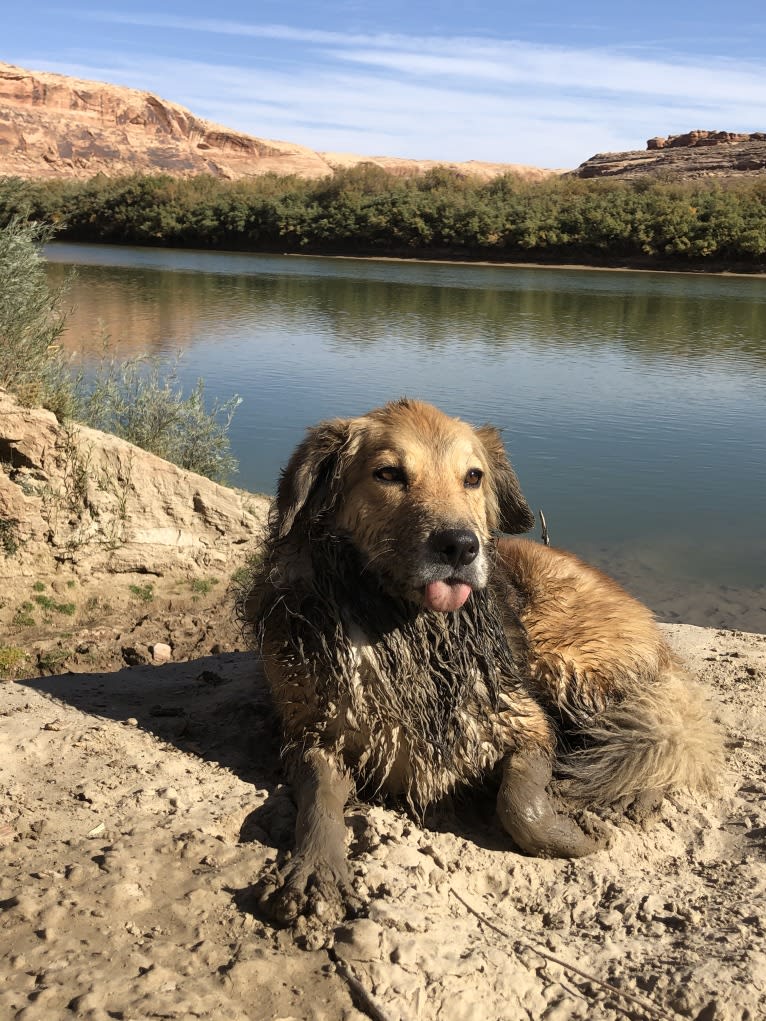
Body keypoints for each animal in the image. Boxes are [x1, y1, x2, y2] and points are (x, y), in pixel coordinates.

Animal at [247, 398, 727, 927]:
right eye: (388, 473)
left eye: (473, 477)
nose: (460, 545)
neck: (405, 629)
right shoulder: (310, 731)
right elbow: (319, 797)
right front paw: (316, 867)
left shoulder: (524, 721)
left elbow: (519, 802)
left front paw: (572, 834)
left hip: (564, 663)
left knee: (652, 730)